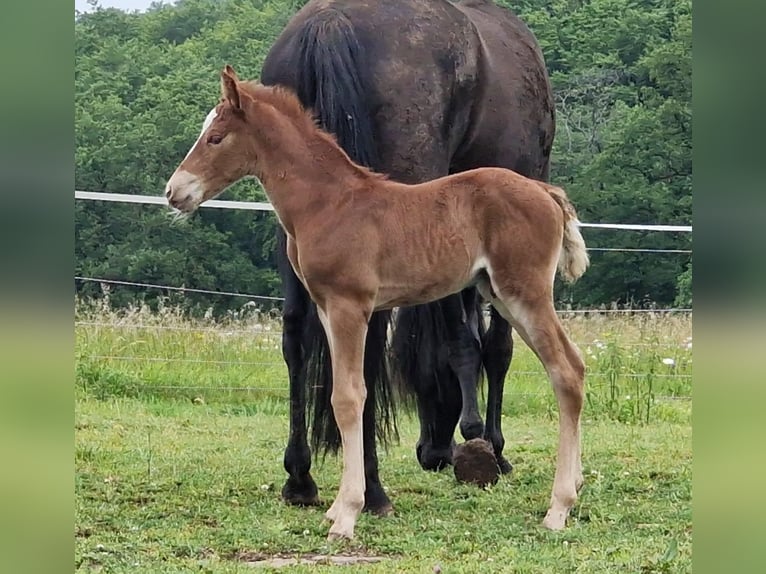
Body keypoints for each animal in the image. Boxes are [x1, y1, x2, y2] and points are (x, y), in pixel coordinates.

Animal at [164, 66, 588, 539]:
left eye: (216, 137)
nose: (173, 191)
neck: (329, 203)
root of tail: (546, 191)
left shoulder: (350, 305)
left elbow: (349, 397)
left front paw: (347, 513)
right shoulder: (327, 308)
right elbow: (337, 392)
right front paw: (336, 508)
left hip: (524, 291)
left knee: (566, 371)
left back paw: (558, 508)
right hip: (501, 293)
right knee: (572, 367)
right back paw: (574, 487)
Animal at [258, 0, 556, 515]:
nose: (430, 451)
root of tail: (330, 22)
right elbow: (490, 344)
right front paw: (490, 447)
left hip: (293, 230)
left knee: (294, 334)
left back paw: (300, 478)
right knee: (368, 343)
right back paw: (373, 489)